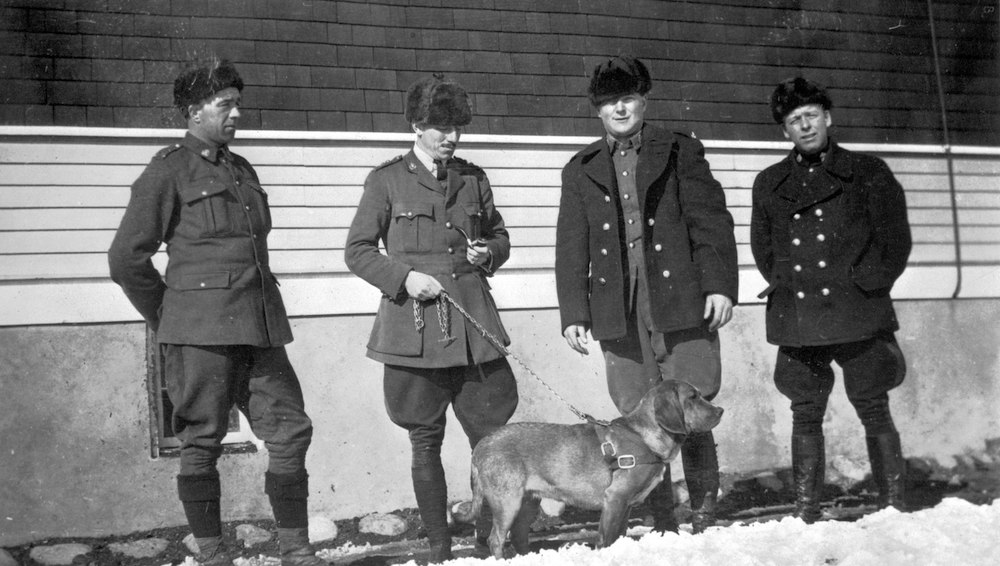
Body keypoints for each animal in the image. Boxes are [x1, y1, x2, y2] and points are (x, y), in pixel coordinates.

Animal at [464, 382, 724, 560]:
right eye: (693, 397)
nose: (720, 410)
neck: (642, 436)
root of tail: (481, 446)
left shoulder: (626, 506)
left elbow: (618, 536)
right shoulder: (615, 499)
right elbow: (605, 538)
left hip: (527, 503)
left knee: (518, 536)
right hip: (507, 502)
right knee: (496, 539)